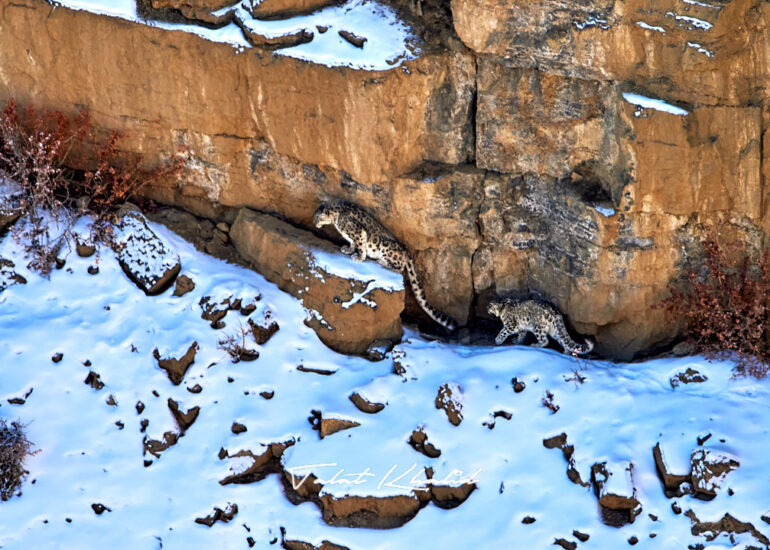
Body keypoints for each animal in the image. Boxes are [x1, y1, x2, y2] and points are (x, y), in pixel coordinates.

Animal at [313, 201, 457, 331]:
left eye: (317, 217)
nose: (314, 223)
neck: (337, 218)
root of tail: (406, 251)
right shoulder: (351, 237)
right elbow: (352, 243)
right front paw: (347, 250)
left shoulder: (358, 232)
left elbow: (360, 245)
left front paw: (359, 257)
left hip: (386, 248)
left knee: (400, 267)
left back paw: (381, 261)